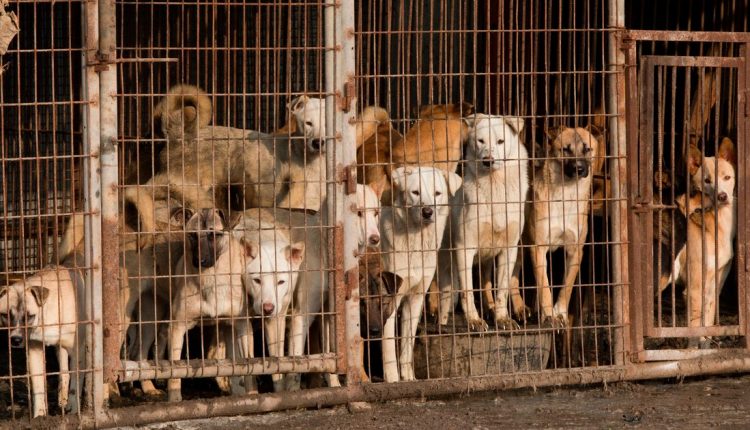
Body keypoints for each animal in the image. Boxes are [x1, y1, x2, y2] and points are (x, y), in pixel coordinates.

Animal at [384, 166, 462, 382]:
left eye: (437, 193)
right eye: (415, 192)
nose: (427, 212)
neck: (415, 242)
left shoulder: (415, 298)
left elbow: (406, 344)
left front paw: (408, 377)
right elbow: (388, 344)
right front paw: (392, 379)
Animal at [528, 126, 604, 328]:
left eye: (587, 149)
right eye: (565, 149)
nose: (579, 168)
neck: (565, 194)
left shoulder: (575, 250)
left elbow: (567, 287)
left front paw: (560, 313)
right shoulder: (538, 248)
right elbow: (544, 286)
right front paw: (548, 316)